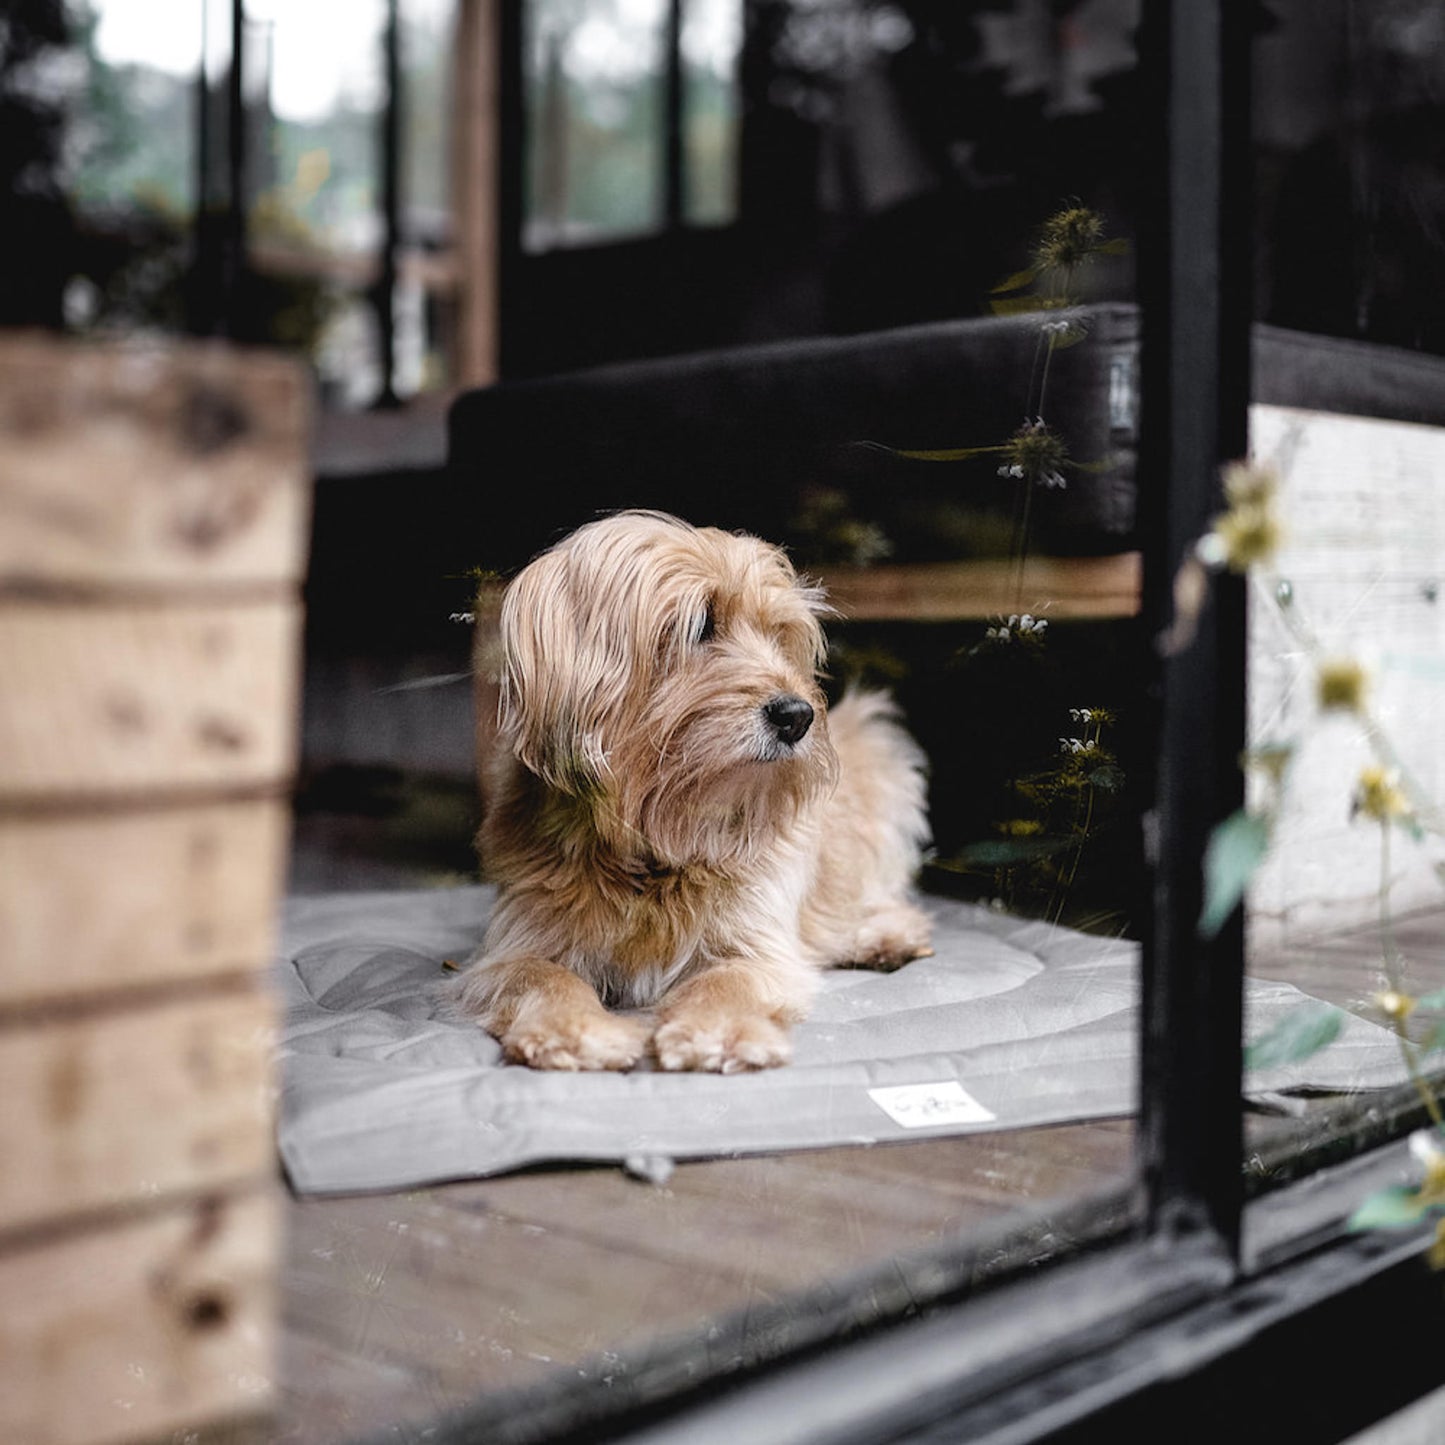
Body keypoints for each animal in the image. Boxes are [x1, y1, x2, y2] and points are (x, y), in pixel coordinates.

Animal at [456, 511, 942, 1075]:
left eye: (779, 636)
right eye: (700, 624)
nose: (798, 715)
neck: (657, 848)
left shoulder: (757, 943)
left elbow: (727, 980)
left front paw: (716, 1029)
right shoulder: (515, 945)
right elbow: (543, 976)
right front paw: (573, 1029)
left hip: (882, 753)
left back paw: (883, 936)